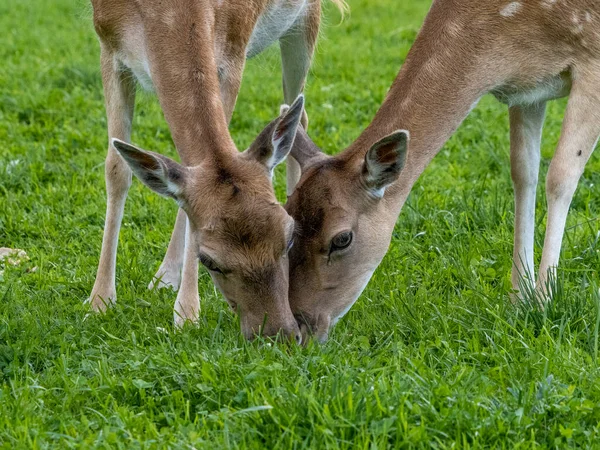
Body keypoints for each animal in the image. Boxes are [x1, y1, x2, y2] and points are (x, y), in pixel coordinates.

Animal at [86, 0, 344, 342]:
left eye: (289, 238)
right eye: (209, 260)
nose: (279, 335)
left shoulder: (232, 52)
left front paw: (186, 313)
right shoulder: (109, 45)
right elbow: (117, 171)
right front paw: (99, 301)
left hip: (306, 20)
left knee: (297, 114)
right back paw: (164, 276)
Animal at [276, 0, 600, 342]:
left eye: (342, 239)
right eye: (288, 218)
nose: (302, 327)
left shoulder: (592, 61)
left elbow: (560, 177)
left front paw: (543, 301)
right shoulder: (529, 90)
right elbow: (524, 173)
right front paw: (518, 298)